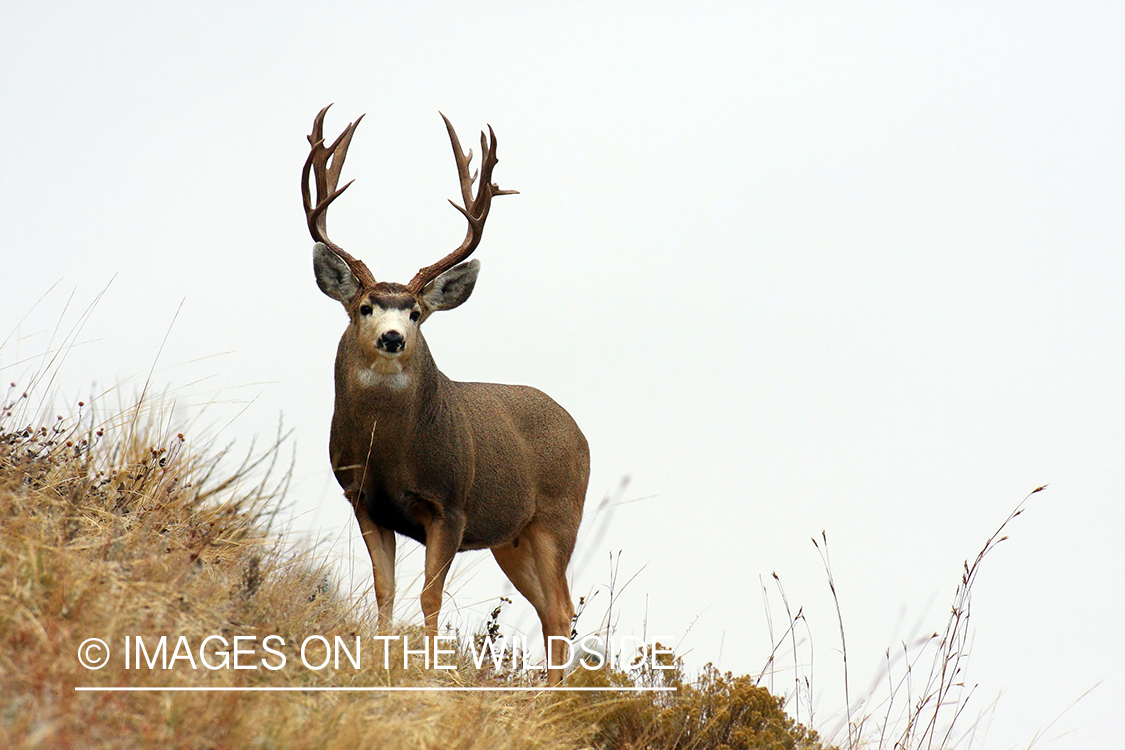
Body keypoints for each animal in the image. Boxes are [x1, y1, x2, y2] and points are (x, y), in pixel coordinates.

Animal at [302, 105, 590, 685]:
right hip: (510, 538)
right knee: (549, 610)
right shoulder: (363, 500)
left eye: (415, 312)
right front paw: (381, 657)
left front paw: (429, 669)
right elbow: (385, 590)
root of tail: (580, 431)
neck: (390, 452)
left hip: (558, 516)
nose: (393, 337)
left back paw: (553, 694)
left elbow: (430, 598)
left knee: (562, 608)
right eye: (365, 307)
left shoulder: (450, 506)